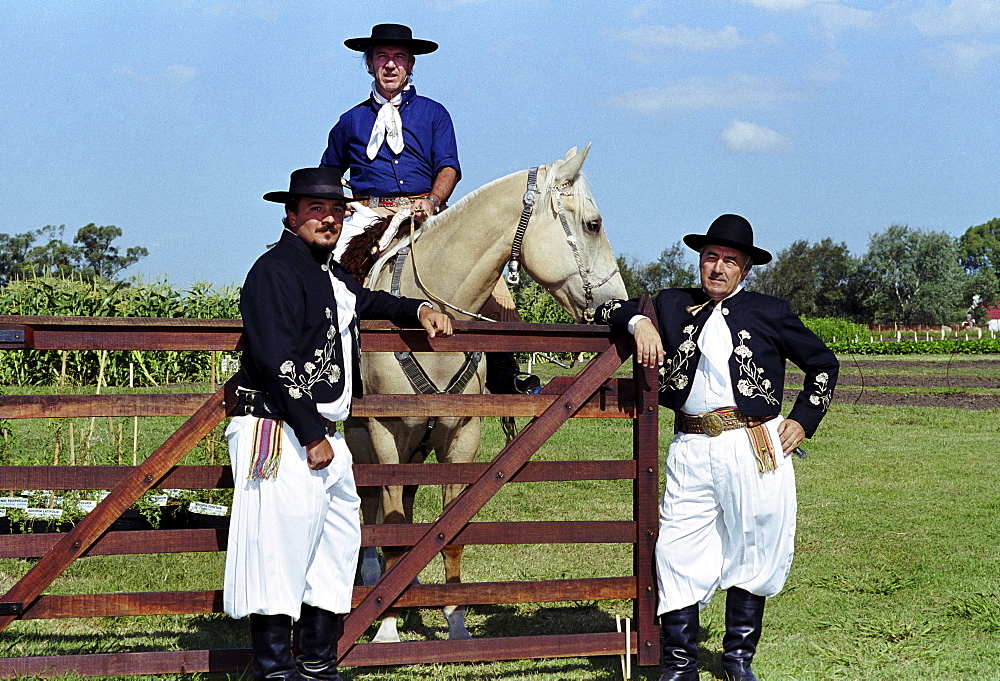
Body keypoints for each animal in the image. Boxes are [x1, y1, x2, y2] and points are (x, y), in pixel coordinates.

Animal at [344, 146, 624, 640]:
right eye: (593, 224)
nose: (620, 299)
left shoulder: (460, 435)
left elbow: (449, 534)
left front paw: (455, 625)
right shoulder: (387, 433)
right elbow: (390, 524)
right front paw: (387, 628)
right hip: (364, 439)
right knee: (371, 504)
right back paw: (374, 579)